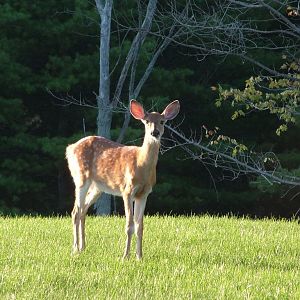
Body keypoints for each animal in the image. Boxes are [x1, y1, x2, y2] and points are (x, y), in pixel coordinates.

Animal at [66, 99, 180, 258]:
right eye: (147, 121)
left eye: (162, 121)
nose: (155, 132)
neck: (141, 165)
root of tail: (70, 148)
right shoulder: (127, 190)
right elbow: (129, 225)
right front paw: (125, 256)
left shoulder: (144, 193)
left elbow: (140, 226)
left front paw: (139, 256)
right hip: (81, 177)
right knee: (75, 211)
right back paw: (75, 248)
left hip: (97, 187)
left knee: (83, 210)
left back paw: (83, 247)